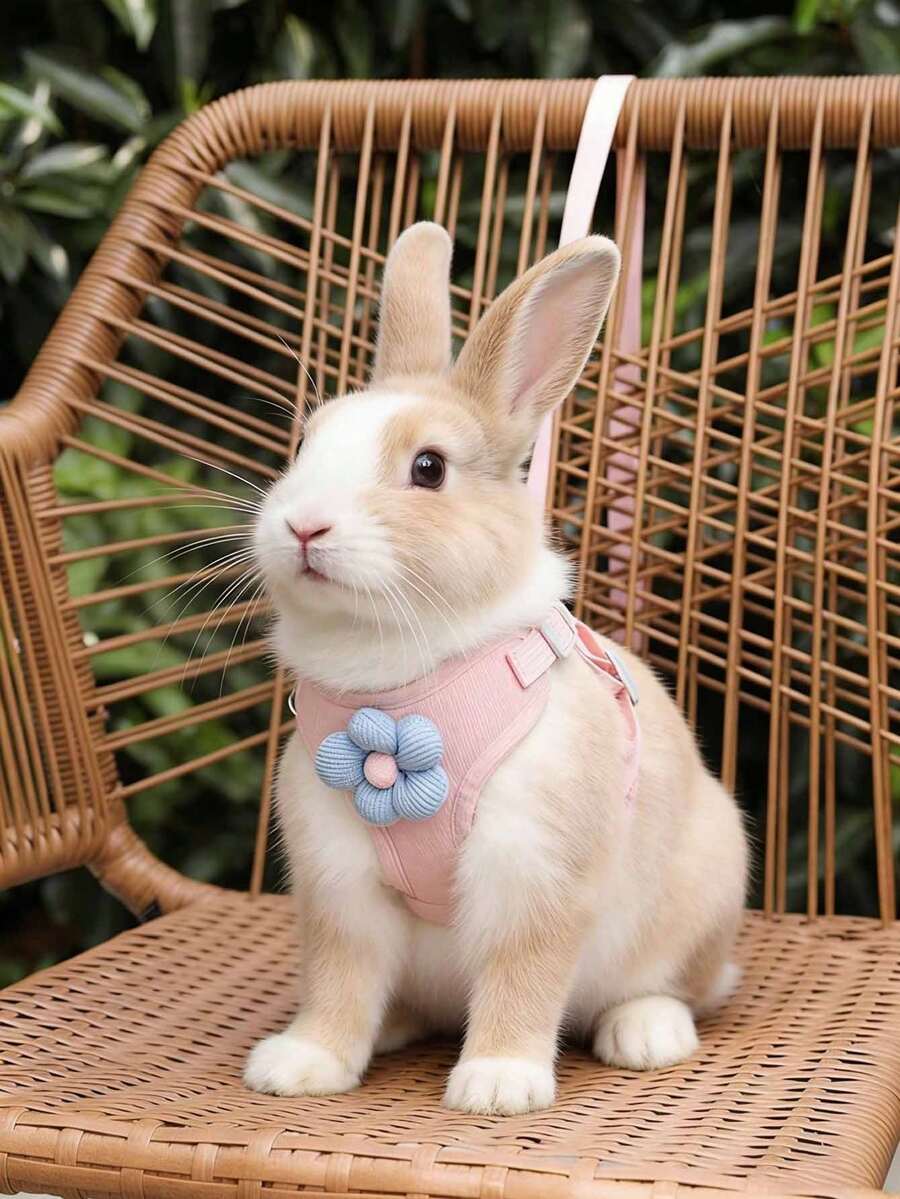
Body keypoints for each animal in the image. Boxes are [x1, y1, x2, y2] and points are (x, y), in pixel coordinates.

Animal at [244, 221, 748, 1116]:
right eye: (305, 443)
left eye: (429, 468)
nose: (303, 525)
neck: (402, 699)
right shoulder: (337, 882)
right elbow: (338, 980)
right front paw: (302, 1064)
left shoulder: (536, 869)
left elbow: (524, 974)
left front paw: (499, 1083)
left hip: (703, 890)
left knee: (676, 986)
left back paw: (646, 1034)